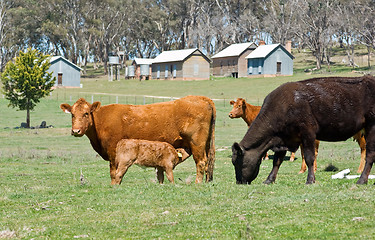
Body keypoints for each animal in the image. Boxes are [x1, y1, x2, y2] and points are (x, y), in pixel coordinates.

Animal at [60, 95, 216, 184]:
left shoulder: (113, 151)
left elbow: (114, 172)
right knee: (208, 161)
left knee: (201, 162)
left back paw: (197, 183)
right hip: (205, 143)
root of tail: (203, 98)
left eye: (86, 113)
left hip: (197, 142)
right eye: (72, 114)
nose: (76, 131)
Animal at [232, 76, 375, 185]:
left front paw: (310, 180)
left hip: (370, 128)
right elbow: (276, 161)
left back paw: (361, 180)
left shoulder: (308, 133)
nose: (239, 181)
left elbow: (309, 157)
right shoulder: (283, 138)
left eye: (238, 162)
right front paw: (269, 180)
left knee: (370, 154)